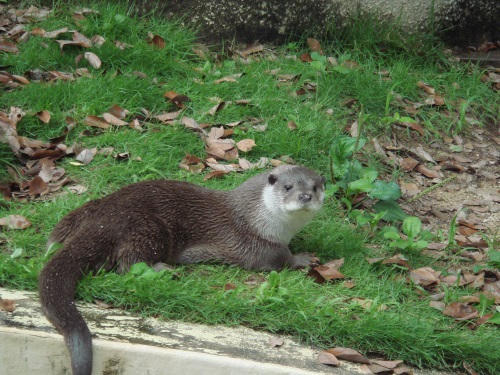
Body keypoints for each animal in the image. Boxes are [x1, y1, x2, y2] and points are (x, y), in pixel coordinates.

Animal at [40, 166, 328, 374]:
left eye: (315, 186)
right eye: (288, 186)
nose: (305, 196)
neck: (258, 219)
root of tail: (103, 220)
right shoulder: (253, 244)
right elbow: (279, 259)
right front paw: (303, 258)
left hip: (86, 211)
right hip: (148, 226)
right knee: (128, 264)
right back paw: (164, 270)